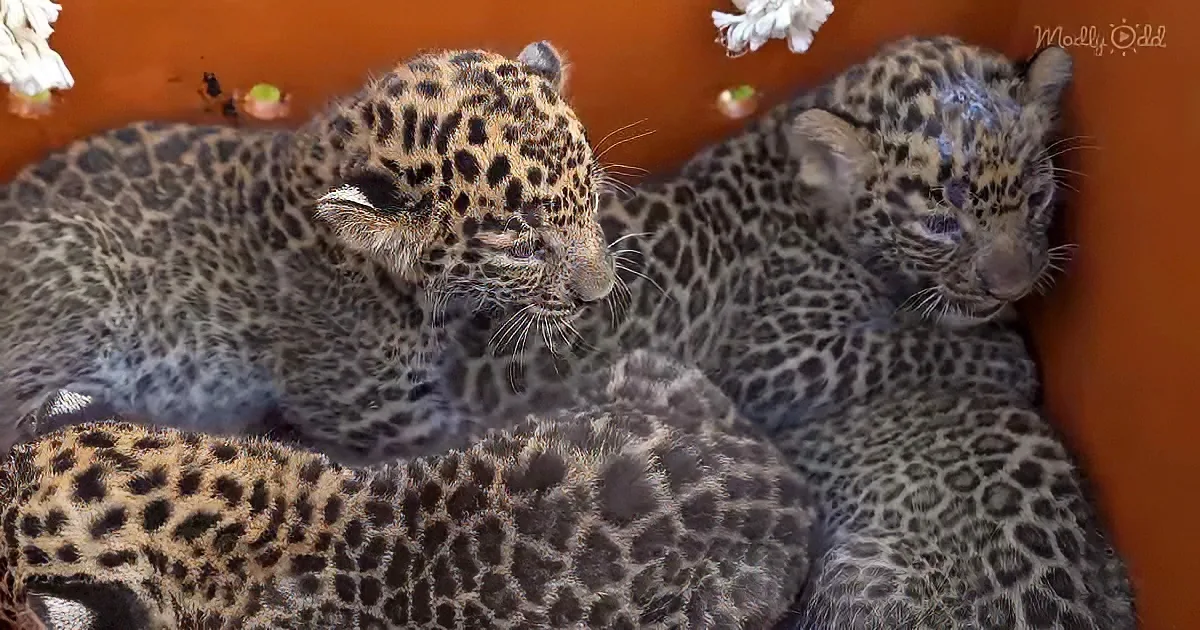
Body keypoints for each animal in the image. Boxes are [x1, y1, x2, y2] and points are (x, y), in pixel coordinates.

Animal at [426, 36, 1136, 628]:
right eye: (939, 224)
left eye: (1038, 197)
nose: (1013, 288)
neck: (807, 187)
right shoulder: (773, 362)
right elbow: (896, 344)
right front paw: (1006, 357)